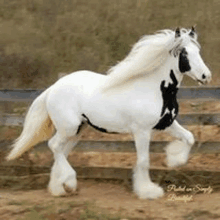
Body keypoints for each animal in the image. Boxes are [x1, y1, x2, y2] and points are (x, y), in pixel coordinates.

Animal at [6, 27, 211, 199]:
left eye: (198, 51)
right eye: (184, 53)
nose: (206, 76)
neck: (155, 89)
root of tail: (53, 88)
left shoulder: (167, 124)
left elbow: (189, 138)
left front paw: (174, 160)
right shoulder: (142, 131)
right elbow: (144, 160)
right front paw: (148, 191)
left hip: (77, 131)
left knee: (61, 151)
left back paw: (59, 189)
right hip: (69, 128)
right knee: (54, 145)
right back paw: (70, 182)